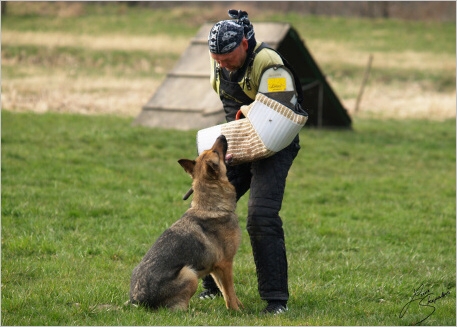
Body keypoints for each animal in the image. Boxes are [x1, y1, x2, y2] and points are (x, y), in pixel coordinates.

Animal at [128, 136, 242, 312]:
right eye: (215, 152)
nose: (222, 136)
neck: (210, 207)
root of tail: (138, 303)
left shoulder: (217, 268)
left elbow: (225, 291)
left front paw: (239, 306)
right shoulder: (226, 264)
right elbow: (229, 292)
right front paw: (237, 312)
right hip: (190, 274)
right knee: (177, 310)